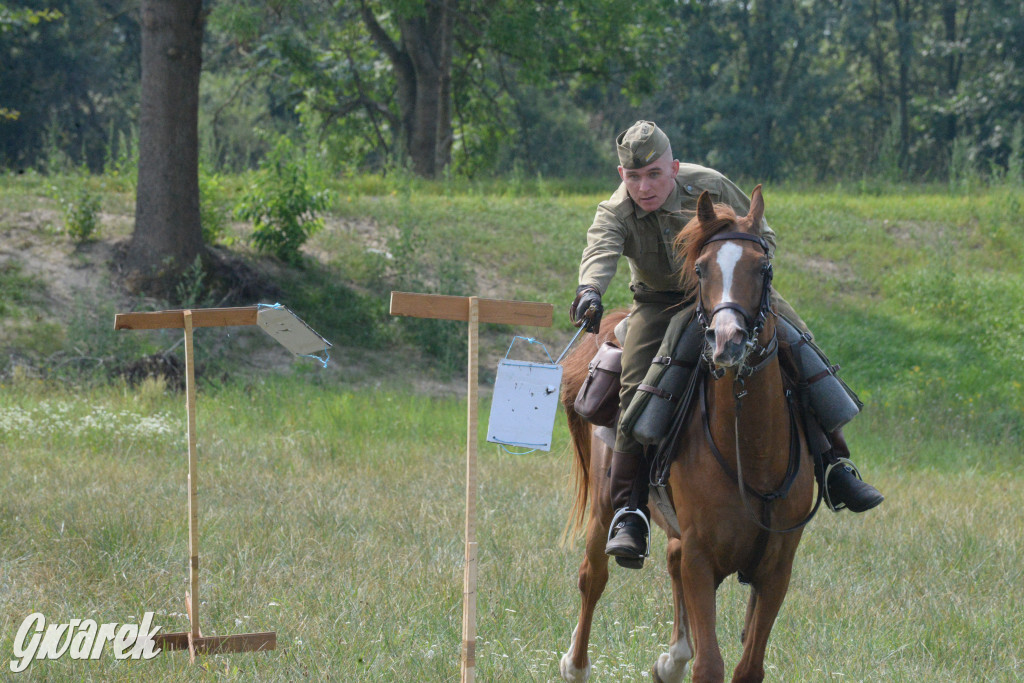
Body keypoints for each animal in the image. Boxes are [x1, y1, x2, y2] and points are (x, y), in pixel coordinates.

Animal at [557, 187, 811, 683]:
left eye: (764, 267)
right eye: (701, 269)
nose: (728, 340)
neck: (750, 450)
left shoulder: (777, 568)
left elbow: (748, 666)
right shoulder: (701, 559)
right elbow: (710, 664)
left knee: (667, 565)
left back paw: (672, 658)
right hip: (604, 507)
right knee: (592, 576)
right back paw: (576, 665)